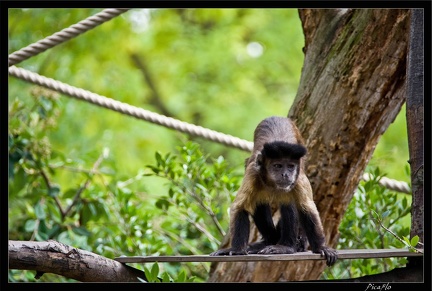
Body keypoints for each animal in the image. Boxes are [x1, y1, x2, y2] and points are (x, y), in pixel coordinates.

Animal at [209, 116, 338, 266]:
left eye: (290, 166)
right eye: (277, 166)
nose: (285, 174)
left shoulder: (298, 178)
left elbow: (307, 208)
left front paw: (321, 247)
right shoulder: (253, 172)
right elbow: (240, 206)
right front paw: (236, 250)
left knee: (288, 203)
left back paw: (287, 247)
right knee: (258, 202)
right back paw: (270, 241)